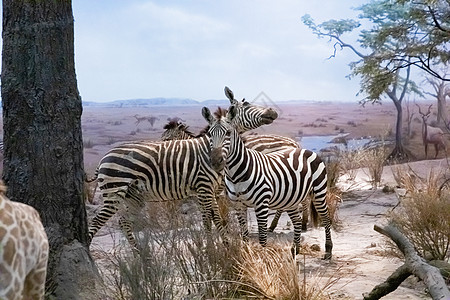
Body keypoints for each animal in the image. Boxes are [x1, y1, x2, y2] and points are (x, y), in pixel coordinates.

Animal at [87, 86, 278, 248]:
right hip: (114, 191)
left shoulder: (209, 190)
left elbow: (214, 217)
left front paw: (225, 244)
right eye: (247, 104)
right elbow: (210, 218)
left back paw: (139, 254)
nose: (273, 112)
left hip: (132, 196)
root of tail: (104, 157)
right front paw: (213, 248)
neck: (208, 147)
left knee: (123, 221)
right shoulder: (204, 188)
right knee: (96, 223)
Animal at [159, 119, 312, 234]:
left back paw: (302, 224)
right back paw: (275, 226)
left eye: (167, 139)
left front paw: (224, 226)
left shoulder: (215, 187)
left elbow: (216, 209)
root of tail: (294, 143)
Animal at [204, 105, 334, 258]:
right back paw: (295, 249)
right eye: (210, 134)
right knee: (296, 221)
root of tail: (305, 149)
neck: (235, 175)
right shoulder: (238, 205)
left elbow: (262, 237)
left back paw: (328, 250)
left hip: (319, 192)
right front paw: (247, 257)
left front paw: (263, 258)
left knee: (325, 218)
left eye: (228, 133)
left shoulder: (261, 205)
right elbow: (244, 235)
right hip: (291, 199)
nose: (215, 162)